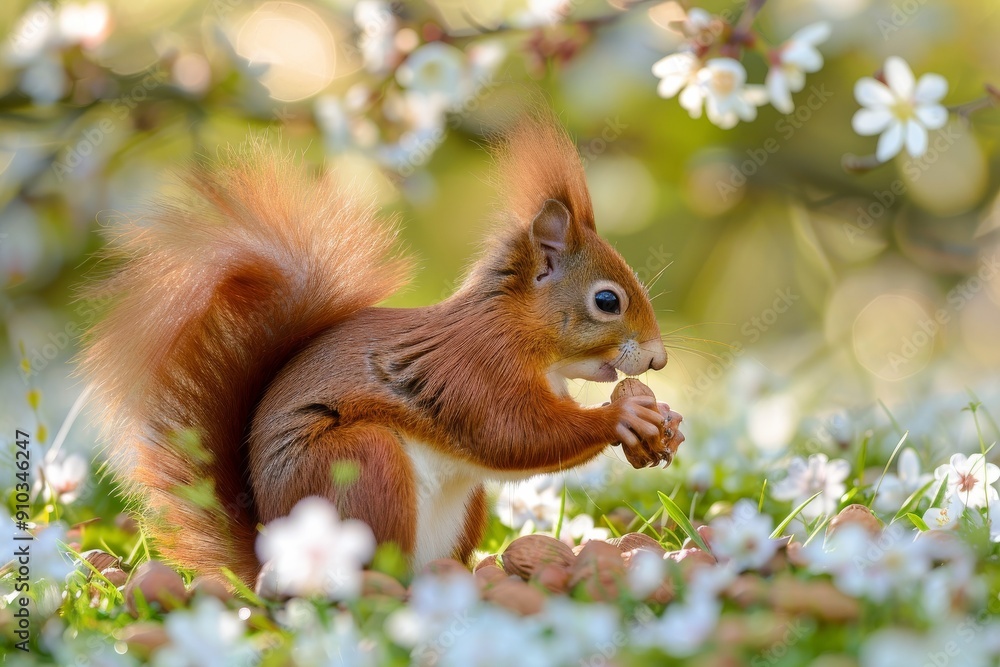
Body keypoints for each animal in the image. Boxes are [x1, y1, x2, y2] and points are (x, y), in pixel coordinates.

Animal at [81, 114, 684, 587]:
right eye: (606, 301)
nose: (659, 360)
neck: (517, 330)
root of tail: (272, 558)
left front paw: (664, 419)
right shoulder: (473, 366)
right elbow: (514, 433)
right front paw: (623, 416)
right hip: (361, 466)